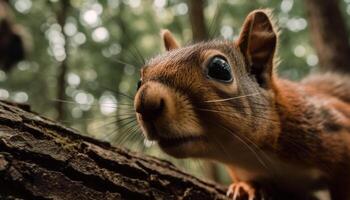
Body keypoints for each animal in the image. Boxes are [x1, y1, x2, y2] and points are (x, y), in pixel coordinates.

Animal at [133, 9, 348, 200]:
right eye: (139, 82)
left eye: (220, 69)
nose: (146, 103)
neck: (245, 155)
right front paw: (246, 187)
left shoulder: (331, 129)